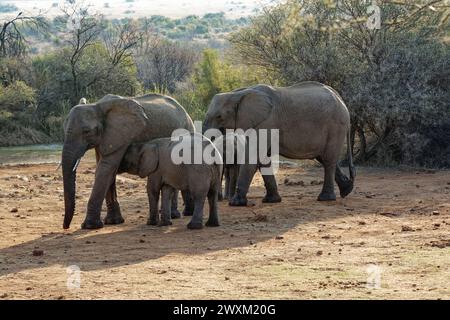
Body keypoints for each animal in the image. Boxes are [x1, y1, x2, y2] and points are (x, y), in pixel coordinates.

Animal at [61, 94, 195, 229]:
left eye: (87, 132)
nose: (66, 227)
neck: (97, 105)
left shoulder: (122, 136)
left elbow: (105, 168)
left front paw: (90, 226)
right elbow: (106, 170)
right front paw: (113, 222)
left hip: (186, 130)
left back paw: (176, 215)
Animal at [203, 81, 356, 206]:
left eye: (219, 117)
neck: (238, 93)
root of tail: (341, 100)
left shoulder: (266, 122)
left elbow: (253, 158)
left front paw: (236, 203)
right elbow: (263, 160)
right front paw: (271, 200)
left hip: (336, 126)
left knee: (328, 160)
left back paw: (326, 198)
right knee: (323, 158)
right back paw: (346, 190)